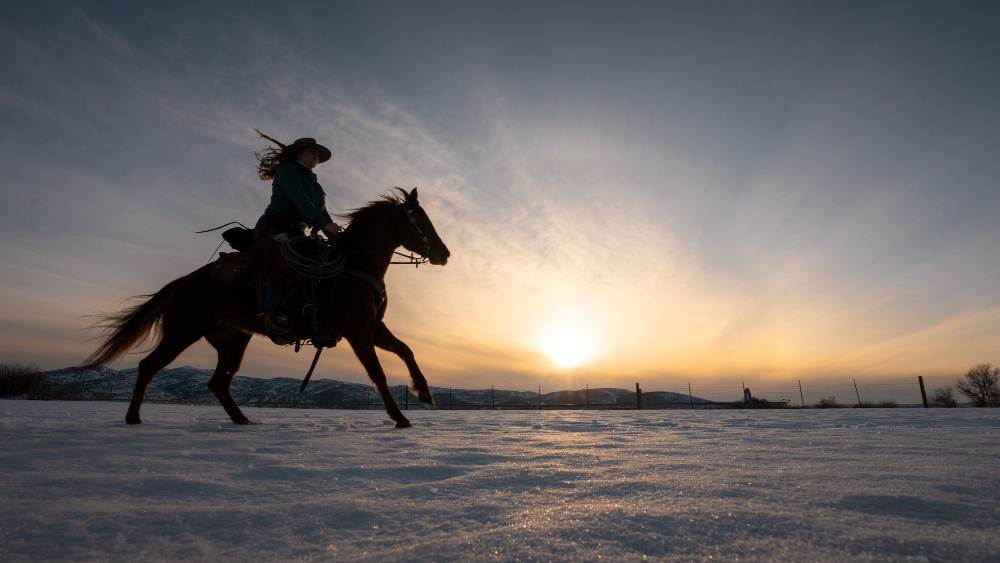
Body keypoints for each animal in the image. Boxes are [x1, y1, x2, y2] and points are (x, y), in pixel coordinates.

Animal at [82, 187, 450, 430]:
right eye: (421, 220)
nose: (444, 254)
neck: (352, 268)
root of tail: (181, 282)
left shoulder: (373, 327)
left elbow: (406, 350)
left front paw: (424, 393)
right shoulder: (356, 329)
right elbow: (377, 371)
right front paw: (400, 417)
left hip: (231, 340)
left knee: (218, 383)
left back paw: (242, 419)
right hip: (182, 331)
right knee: (149, 366)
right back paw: (133, 417)